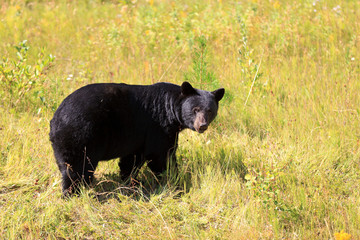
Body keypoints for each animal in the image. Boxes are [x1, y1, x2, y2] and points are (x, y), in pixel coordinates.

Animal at [50, 81, 225, 196]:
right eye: (195, 109)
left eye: (210, 110)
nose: (202, 126)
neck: (170, 109)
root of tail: (55, 118)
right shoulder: (158, 127)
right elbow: (161, 154)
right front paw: (174, 178)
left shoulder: (139, 136)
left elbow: (132, 159)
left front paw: (129, 181)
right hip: (81, 136)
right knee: (76, 168)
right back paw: (72, 192)